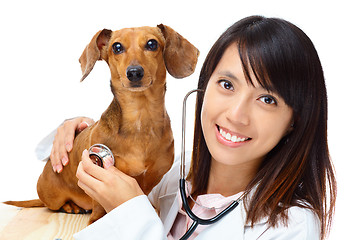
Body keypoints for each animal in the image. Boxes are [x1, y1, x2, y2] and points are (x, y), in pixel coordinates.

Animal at [4, 23, 198, 224]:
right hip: (52, 196)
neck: (140, 118)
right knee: (54, 205)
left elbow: (143, 194)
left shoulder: (152, 178)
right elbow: (98, 206)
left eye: (152, 44)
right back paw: (71, 206)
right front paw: (96, 220)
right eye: (117, 47)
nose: (134, 72)